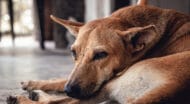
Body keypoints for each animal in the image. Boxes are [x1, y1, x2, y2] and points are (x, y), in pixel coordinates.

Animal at [6, 0, 190, 103]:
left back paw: (24, 98)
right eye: (73, 53)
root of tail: (172, 88)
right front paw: (33, 83)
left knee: (55, 103)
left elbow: (62, 82)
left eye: (101, 55)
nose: (69, 90)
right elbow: (61, 79)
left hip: (111, 83)